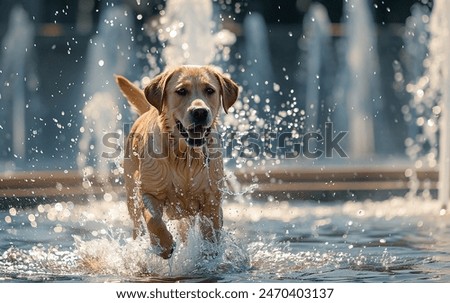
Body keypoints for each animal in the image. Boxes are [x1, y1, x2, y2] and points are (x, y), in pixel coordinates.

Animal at [115, 66, 239, 258]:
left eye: (209, 90)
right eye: (181, 91)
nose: (200, 112)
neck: (184, 155)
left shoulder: (212, 200)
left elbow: (211, 232)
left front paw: (209, 255)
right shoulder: (149, 191)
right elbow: (153, 220)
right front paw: (163, 245)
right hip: (131, 196)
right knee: (137, 226)